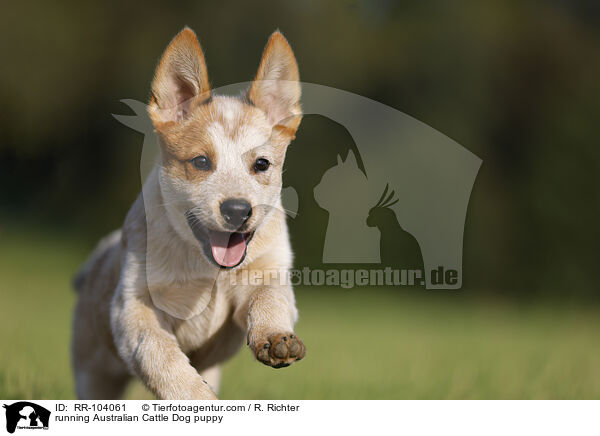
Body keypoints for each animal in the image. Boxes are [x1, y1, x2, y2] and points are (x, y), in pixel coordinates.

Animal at [72, 28, 304, 402]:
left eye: (261, 164)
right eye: (201, 161)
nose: (237, 210)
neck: (209, 272)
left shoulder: (267, 272)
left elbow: (269, 298)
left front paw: (275, 338)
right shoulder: (134, 308)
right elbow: (159, 352)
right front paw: (197, 398)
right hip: (93, 374)